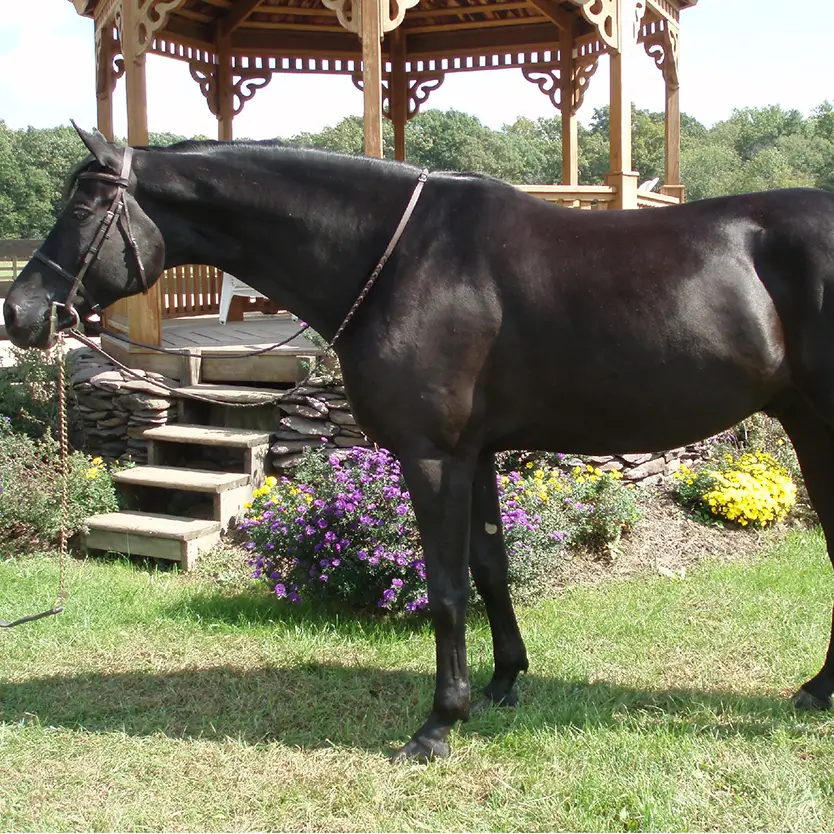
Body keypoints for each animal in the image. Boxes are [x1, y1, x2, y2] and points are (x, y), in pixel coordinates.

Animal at [4, 127, 832, 756]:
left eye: (88, 204)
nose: (22, 311)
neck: (403, 258)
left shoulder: (432, 457)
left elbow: (445, 588)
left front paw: (439, 723)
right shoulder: (478, 454)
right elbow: (491, 569)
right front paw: (503, 683)